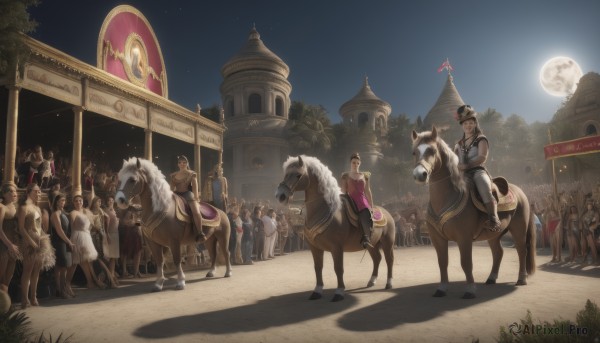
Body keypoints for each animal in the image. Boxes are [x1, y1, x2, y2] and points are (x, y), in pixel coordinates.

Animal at [115, 157, 232, 292]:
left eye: (132, 180)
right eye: (119, 179)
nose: (120, 200)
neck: (159, 208)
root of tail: (220, 211)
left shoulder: (174, 241)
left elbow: (177, 260)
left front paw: (180, 282)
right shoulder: (152, 242)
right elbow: (159, 261)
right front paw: (158, 283)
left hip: (223, 237)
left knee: (226, 252)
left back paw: (228, 272)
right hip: (209, 239)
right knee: (213, 254)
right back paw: (211, 272)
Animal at [276, 156, 398, 304]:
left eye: (298, 175)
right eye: (286, 174)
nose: (280, 195)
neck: (323, 210)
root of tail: (387, 213)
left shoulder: (337, 248)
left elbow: (338, 269)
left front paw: (339, 292)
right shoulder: (314, 247)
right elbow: (318, 267)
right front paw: (317, 291)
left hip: (387, 242)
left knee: (389, 260)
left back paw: (389, 283)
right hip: (371, 245)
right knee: (377, 258)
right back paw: (371, 280)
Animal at [412, 127, 536, 300]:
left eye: (432, 150)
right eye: (414, 152)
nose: (419, 174)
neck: (447, 196)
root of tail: (520, 192)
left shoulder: (464, 238)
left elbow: (466, 263)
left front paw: (470, 290)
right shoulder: (437, 239)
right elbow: (442, 262)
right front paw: (441, 289)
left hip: (519, 229)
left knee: (521, 250)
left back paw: (521, 279)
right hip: (494, 234)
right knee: (498, 252)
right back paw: (491, 278)